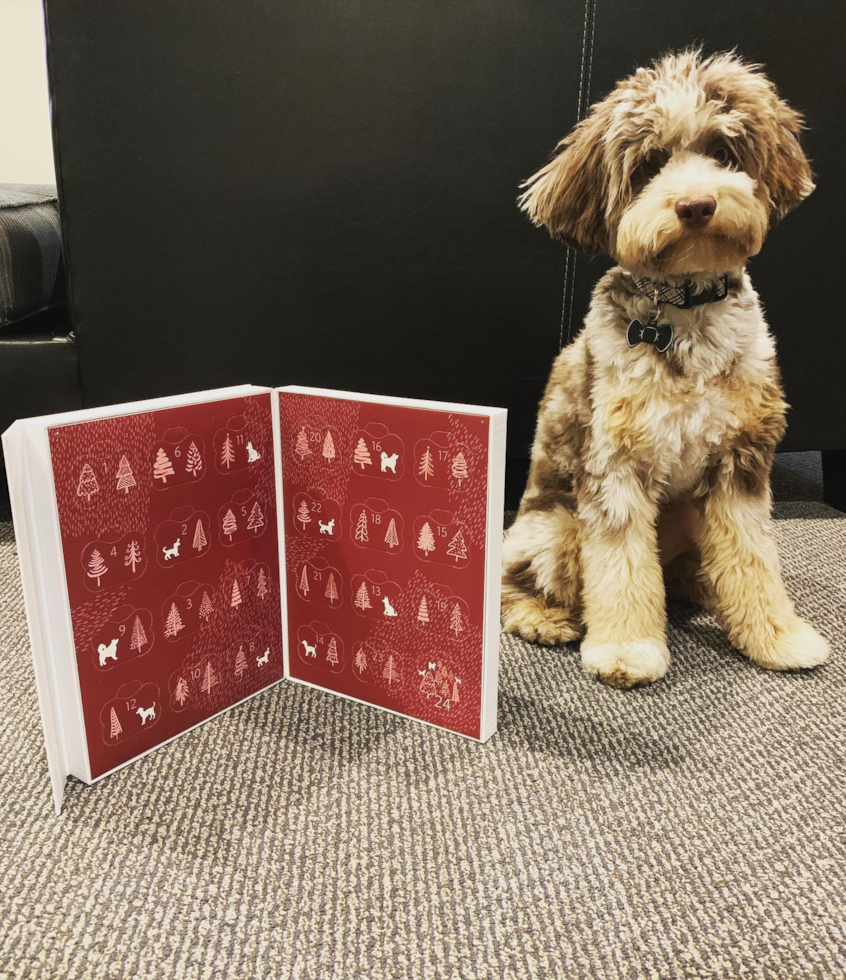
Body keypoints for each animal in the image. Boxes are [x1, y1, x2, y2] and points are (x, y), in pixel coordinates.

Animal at [500, 49, 832, 684]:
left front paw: (776, 636)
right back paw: (545, 618)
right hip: (553, 528)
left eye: (723, 151)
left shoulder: (741, 461)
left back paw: (704, 592)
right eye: (650, 164)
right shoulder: (615, 464)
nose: (697, 205)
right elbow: (622, 567)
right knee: (520, 582)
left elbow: (754, 559)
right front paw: (627, 649)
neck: (684, 310)